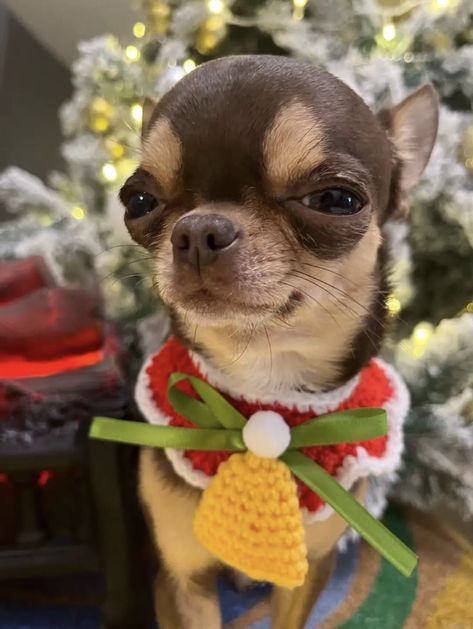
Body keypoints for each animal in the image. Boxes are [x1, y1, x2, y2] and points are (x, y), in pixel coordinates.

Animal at [120, 55, 436, 628]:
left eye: (336, 199)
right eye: (138, 201)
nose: (197, 231)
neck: (265, 384)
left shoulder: (309, 573)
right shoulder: (182, 582)